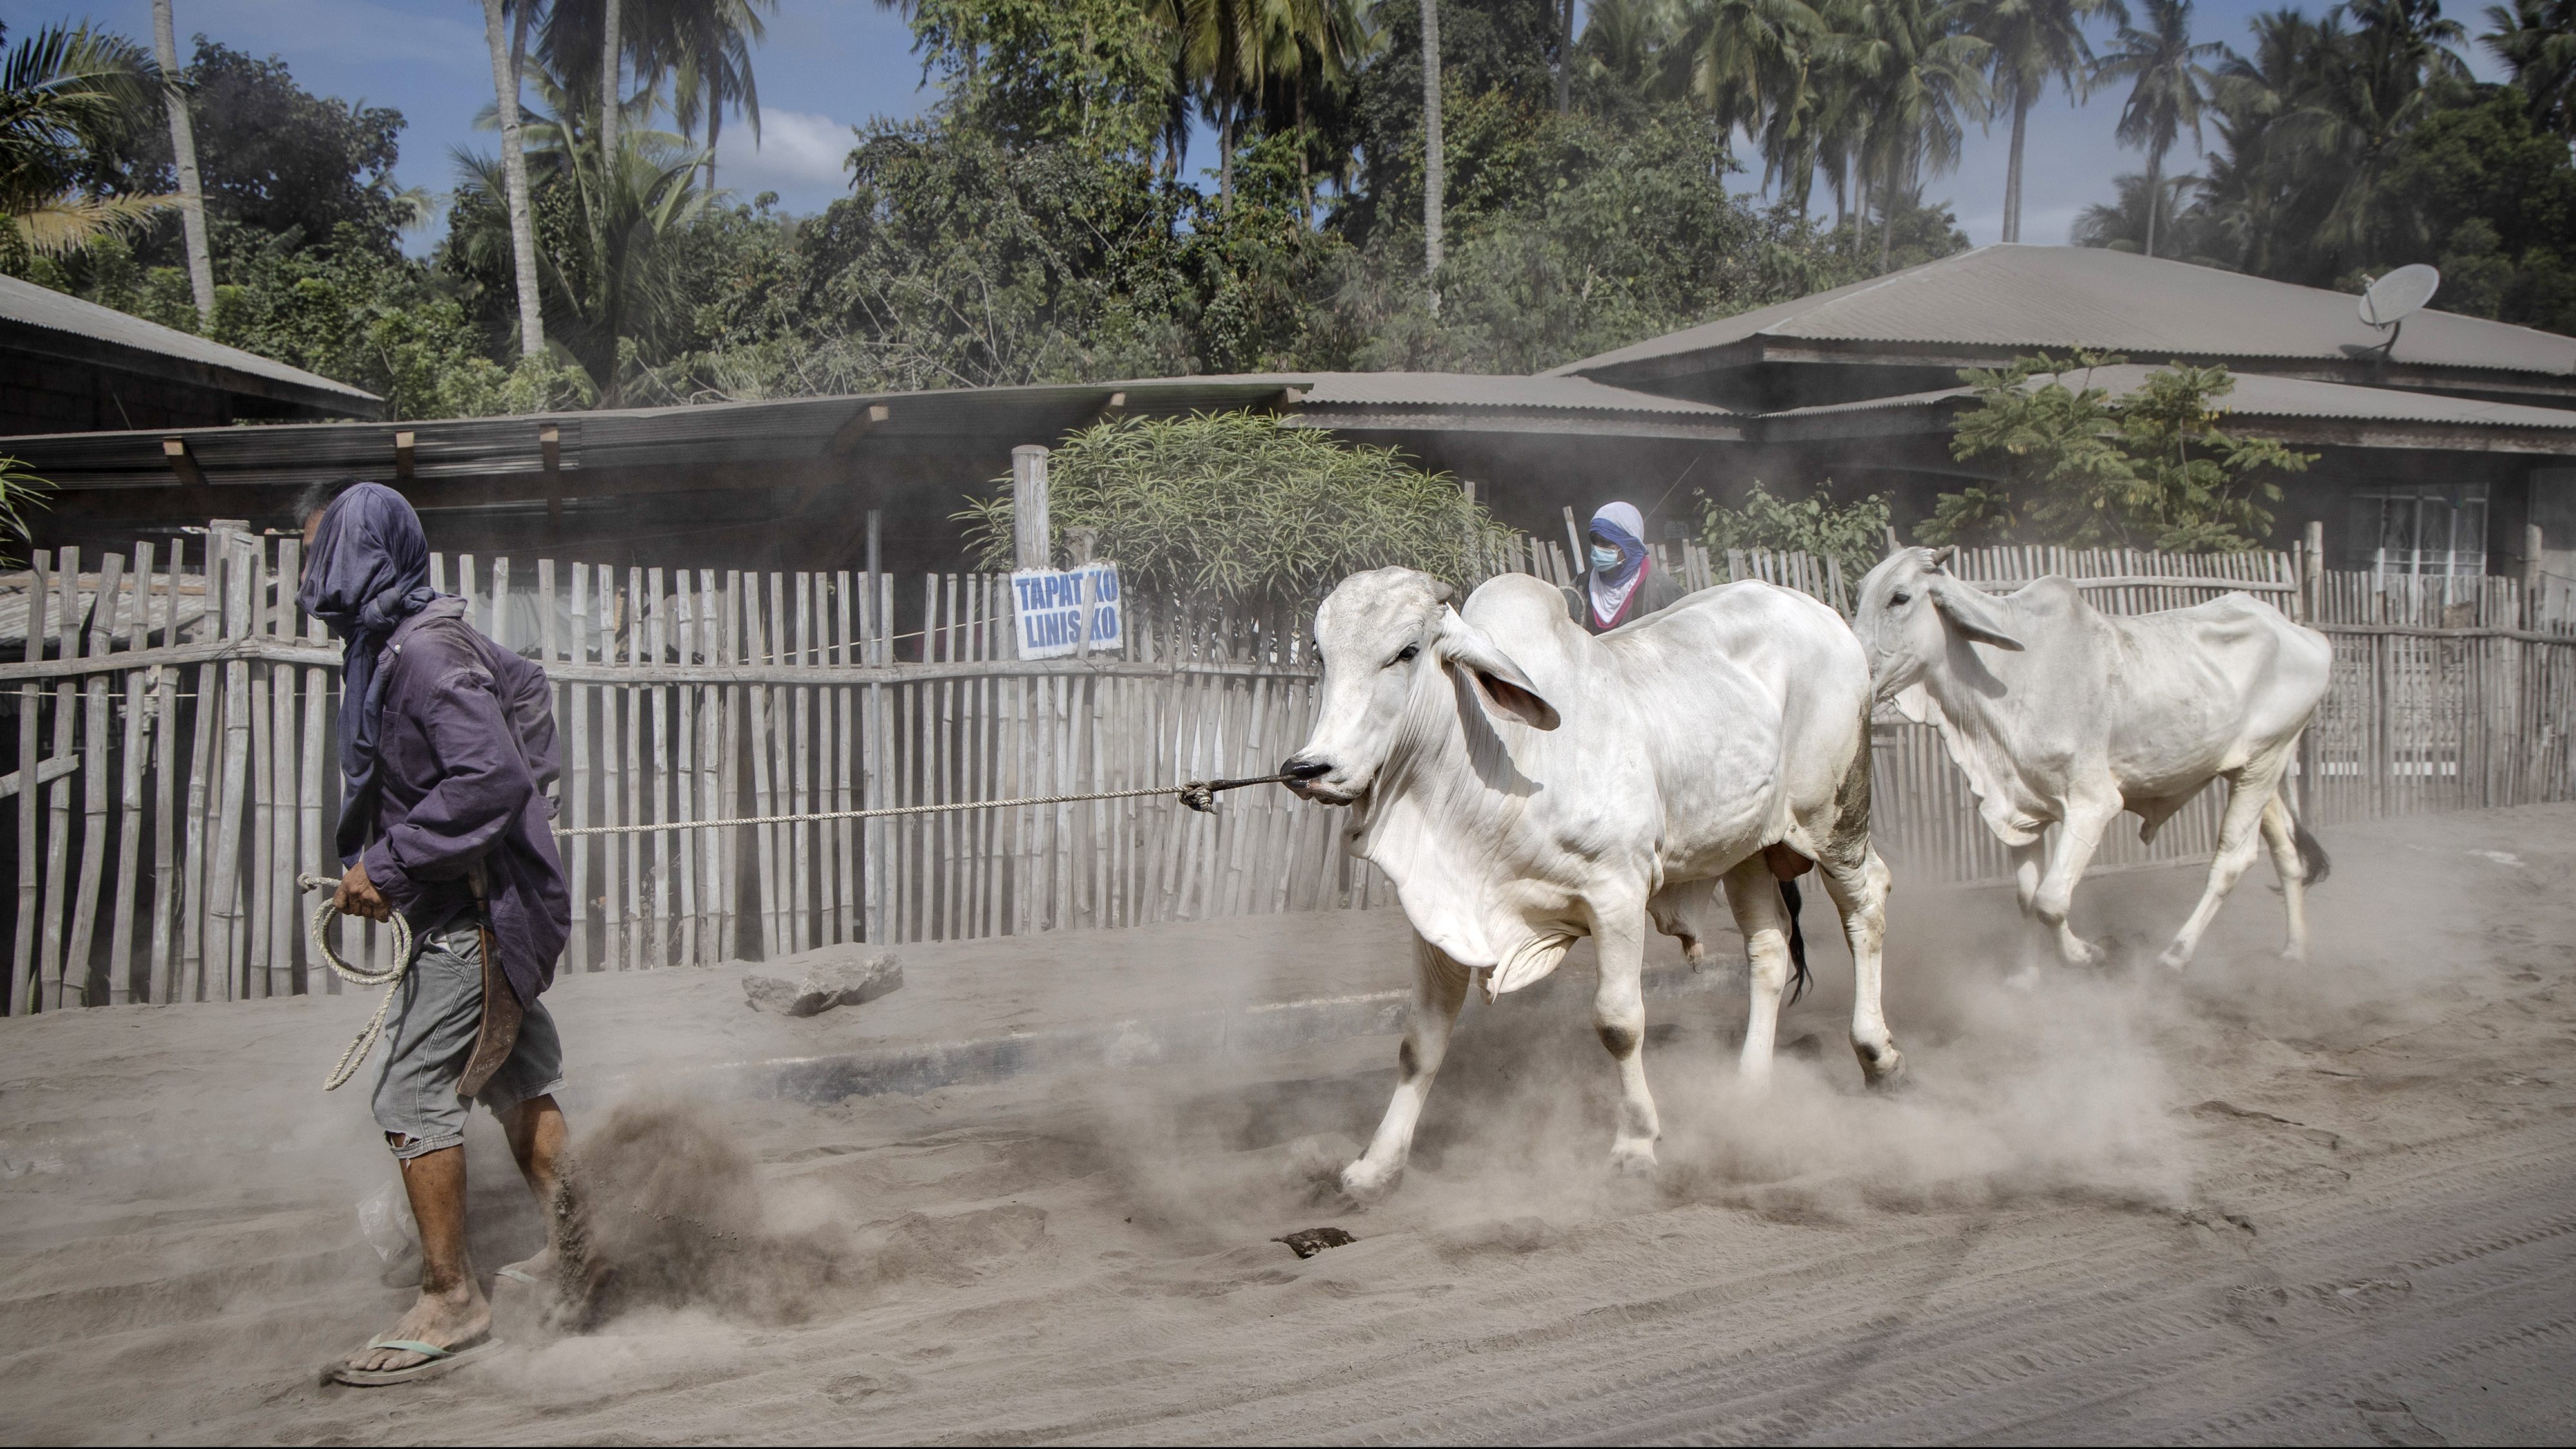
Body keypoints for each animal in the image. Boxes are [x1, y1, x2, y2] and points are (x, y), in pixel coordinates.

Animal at [1283, 564, 1906, 1196]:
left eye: (1407, 652)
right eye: (1319, 652)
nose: (1309, 768)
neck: (1503, 756)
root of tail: (1823, 614)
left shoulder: (1618, 894)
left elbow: (1618, 1023)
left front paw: (1635, 1144)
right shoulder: (1440, 919)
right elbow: (1420, 1044)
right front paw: (1377, 1165)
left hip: (1835, 823)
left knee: (1867, 907)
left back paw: (1876, 1054)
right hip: (1747, 850)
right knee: (1770, 950)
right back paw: (1749, 1091)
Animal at [1855, 544, 2339, 969]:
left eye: (1900, 597)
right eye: (1861, 592)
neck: (2008, 674)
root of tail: (2306, 634)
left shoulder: (2093, 803)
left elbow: (2051, 901)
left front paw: (2088, 954)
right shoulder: (2021, 810)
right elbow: (2026, 899)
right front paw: (2025, 978)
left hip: (2264, 763)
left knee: (2232, 861)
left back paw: (2176, 955)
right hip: (2250, 769)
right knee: (2285, 851)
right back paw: (2295, 949)